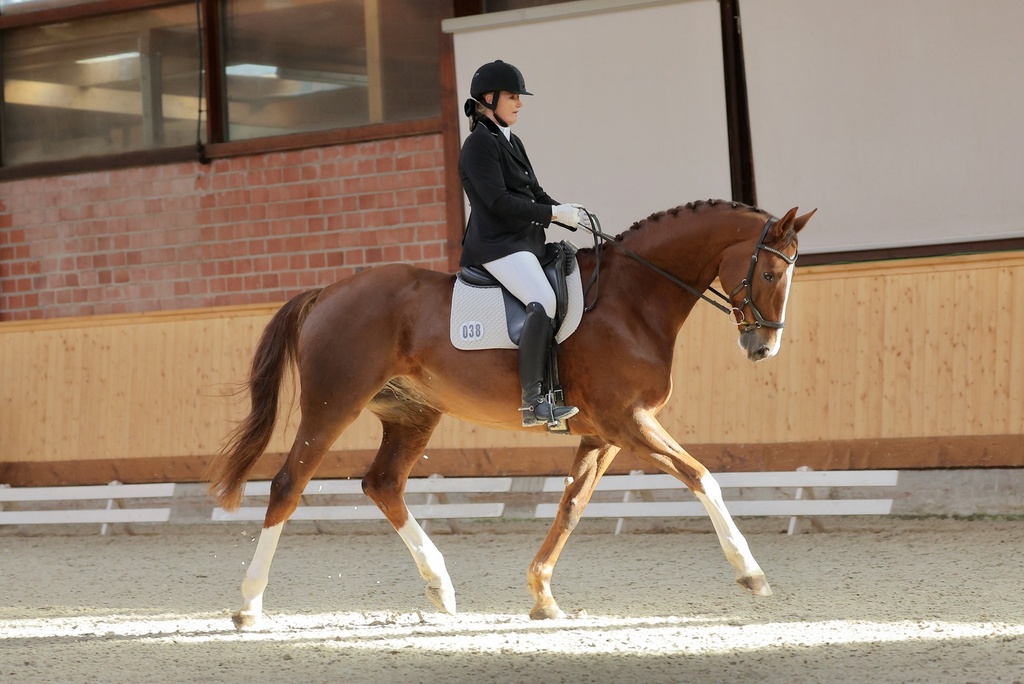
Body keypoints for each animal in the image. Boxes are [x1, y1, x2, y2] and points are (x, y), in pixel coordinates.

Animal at [207, 197, 815, 626]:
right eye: (768, 273)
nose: (763, 348)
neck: (633, 299)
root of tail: (327, 291)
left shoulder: (604, 434)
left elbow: (571, 506)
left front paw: (542, 596)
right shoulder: (629, 422)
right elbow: (702, 476)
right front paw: (751, 573)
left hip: (412, 414)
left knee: (383, 484)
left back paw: (441, 586)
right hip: (333, 402)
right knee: (289, 484)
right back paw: (249, 606)